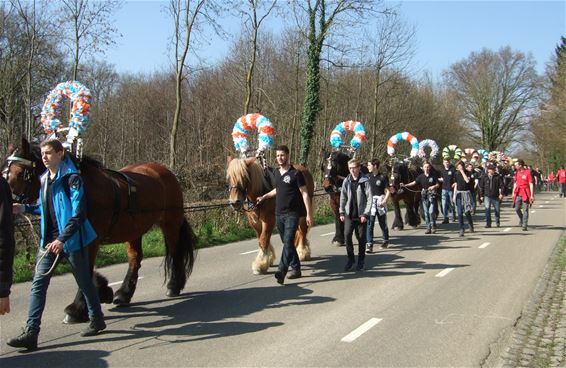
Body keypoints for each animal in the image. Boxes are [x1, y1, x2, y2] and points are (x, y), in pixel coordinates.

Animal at [3, 137, 197, 322]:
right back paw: (124, 294)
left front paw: (77, 309)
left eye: (20, 173)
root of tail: (164, 171)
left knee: (175, 252)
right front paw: (102, 290)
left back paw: (173, 285)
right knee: (135, 259)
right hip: (134, 231)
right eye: (4, 171)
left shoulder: (89, 241)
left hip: (170, 224)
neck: (85, 190)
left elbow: (85, 272)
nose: (7, 205)